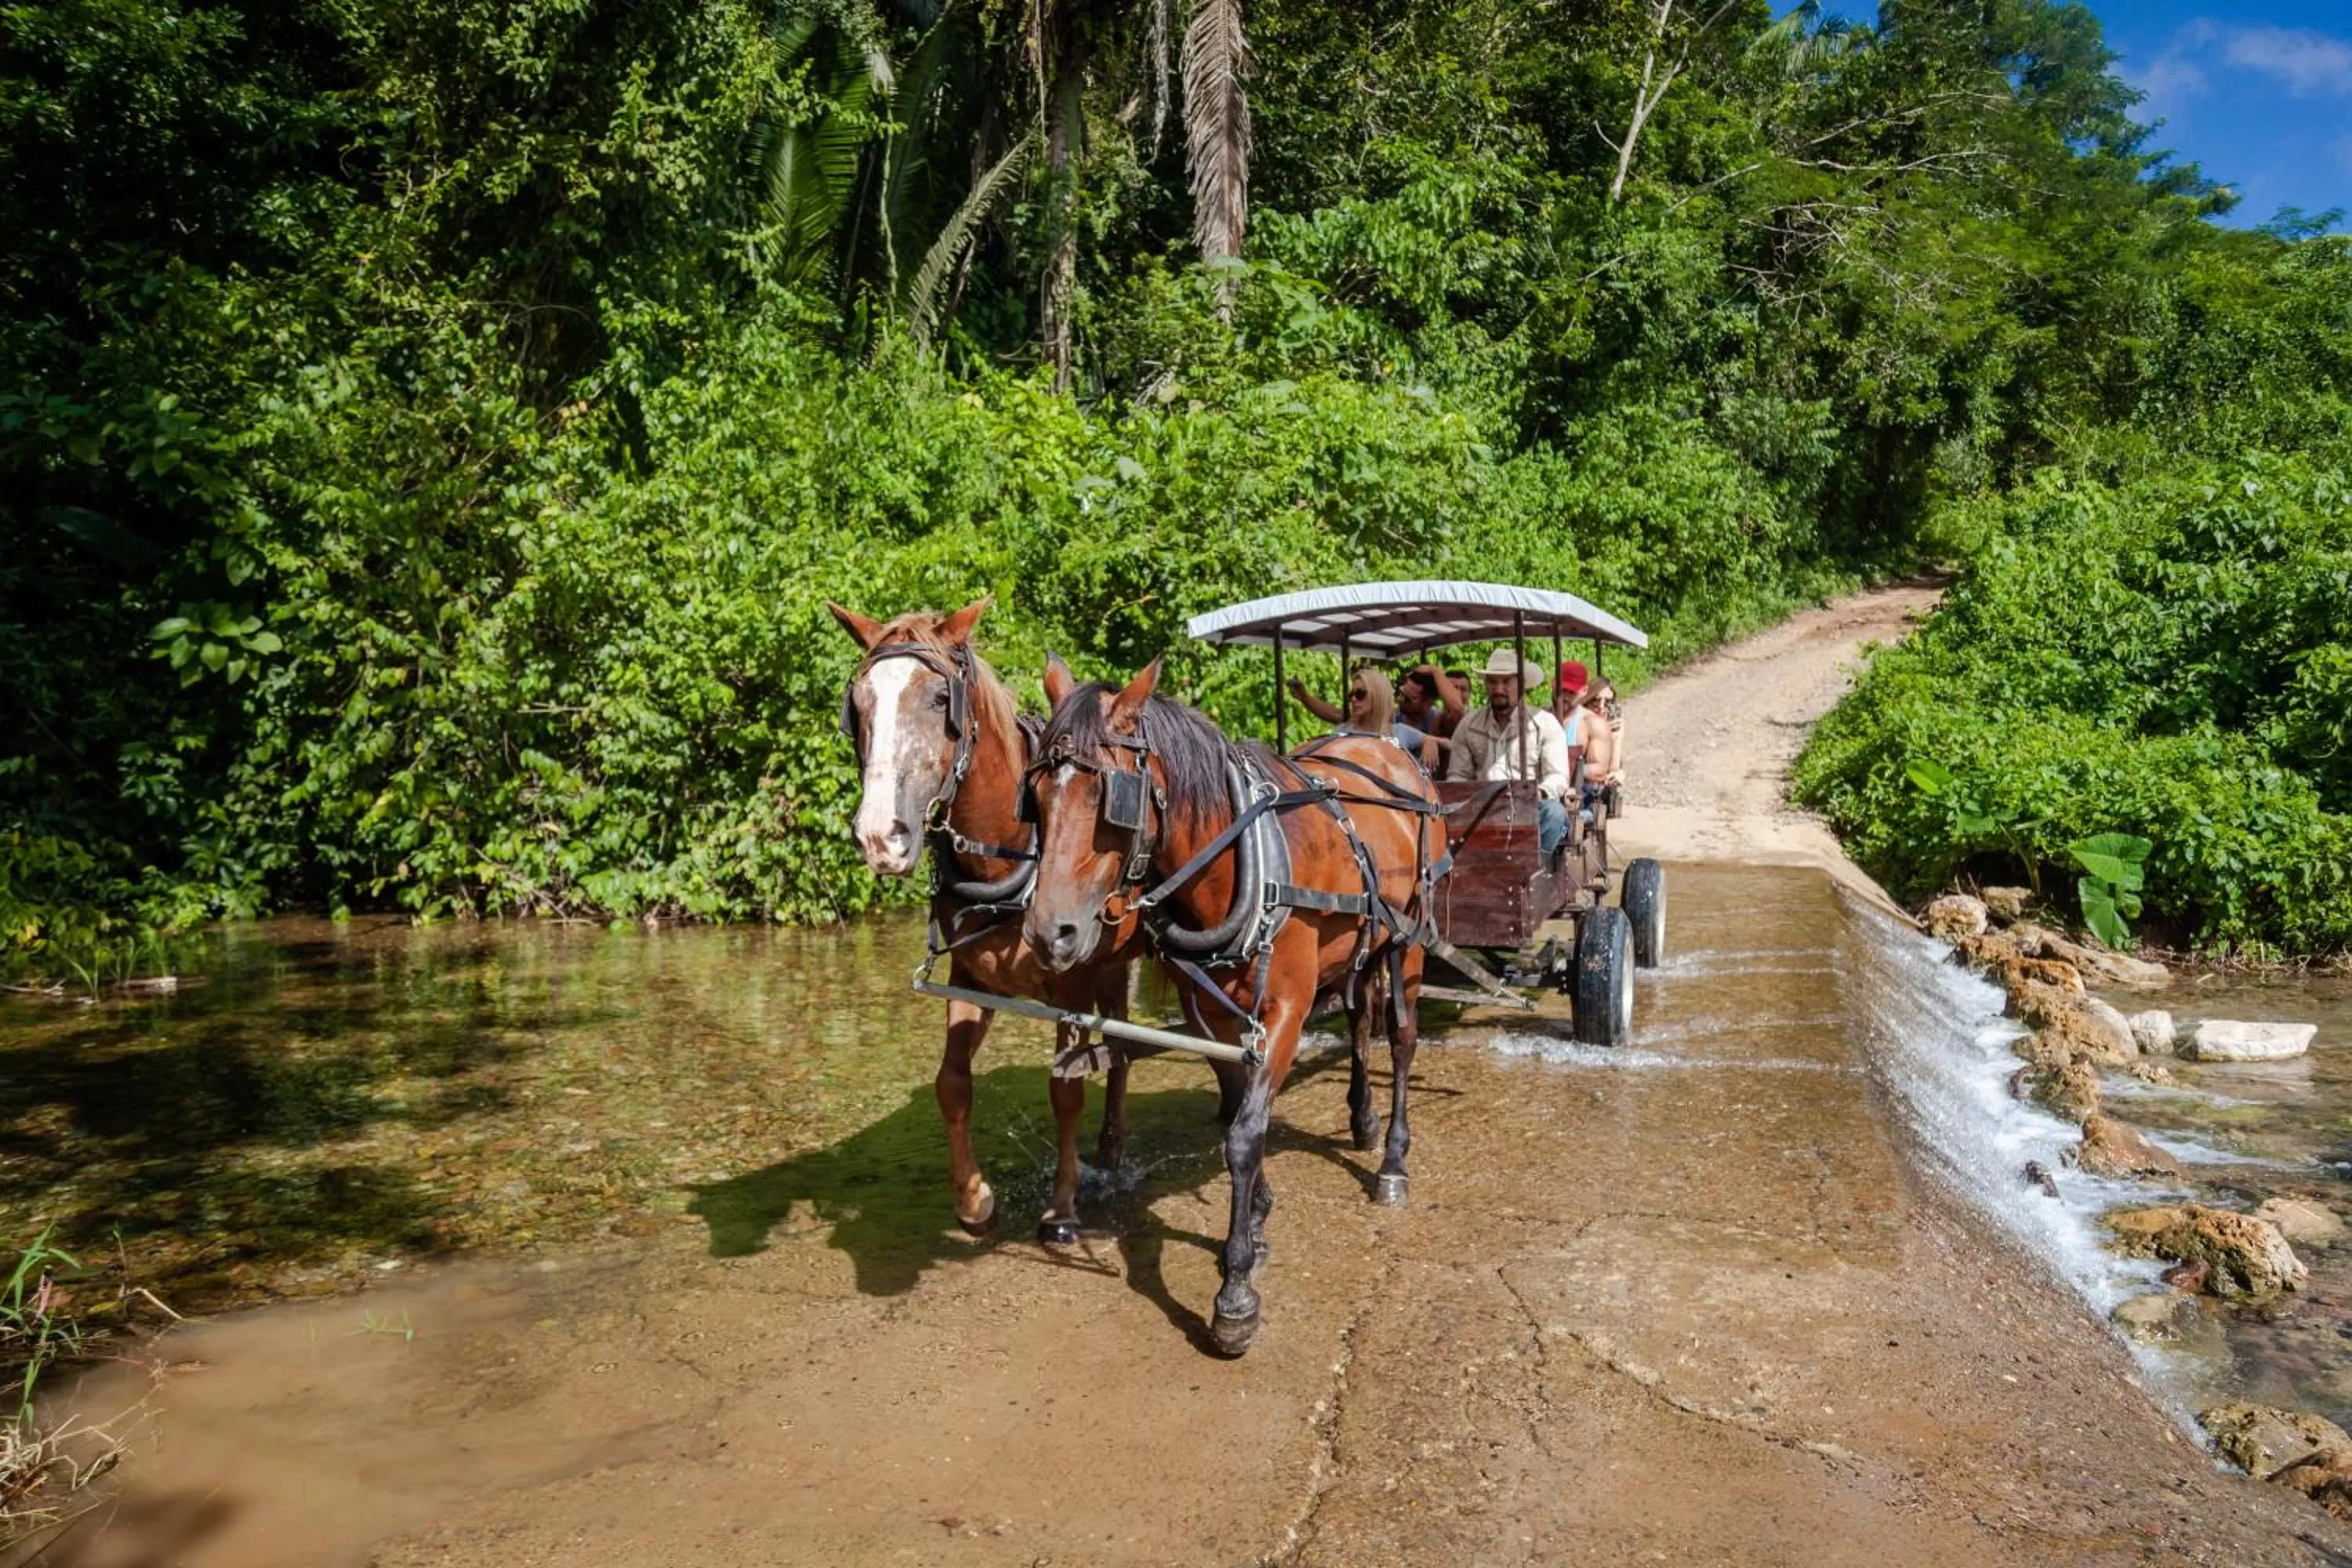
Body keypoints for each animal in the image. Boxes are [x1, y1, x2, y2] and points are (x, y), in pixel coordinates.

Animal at [829, 598, 1141, 1244]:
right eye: (859, 703)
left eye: (938, 700)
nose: (879, 836)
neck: (1013, 849)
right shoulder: (970, 978)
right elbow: (952, 1084)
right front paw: (973, 1200)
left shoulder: (1070, 984)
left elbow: (1065, 1088)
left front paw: (1062, 1207)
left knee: (1123, 1047)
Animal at [1023, 657, 1441, 1355]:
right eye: (1035, 797)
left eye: (1111, 799)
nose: (1048, 933)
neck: (1240, 864)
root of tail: (1382, 741)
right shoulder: (1209, 1016)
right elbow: (1238, 1110)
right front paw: (1260, 1216)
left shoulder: (1286, 1013)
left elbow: (1244, 1136)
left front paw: (1236, 1291)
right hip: (1358, 949)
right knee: (1360, 1019)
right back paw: (1361, 1118)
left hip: (1407, 940)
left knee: (1404, 1041)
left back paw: (1392, 1159)